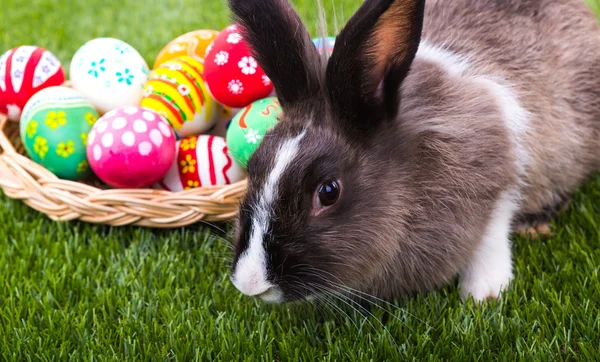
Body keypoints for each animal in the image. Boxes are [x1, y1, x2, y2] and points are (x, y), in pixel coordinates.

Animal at [226, 0, 600, 304]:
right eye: (254, 165)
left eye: (328, 191)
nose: (250, 283)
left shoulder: (500, 161)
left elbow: (493, 229)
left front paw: (484, 293)